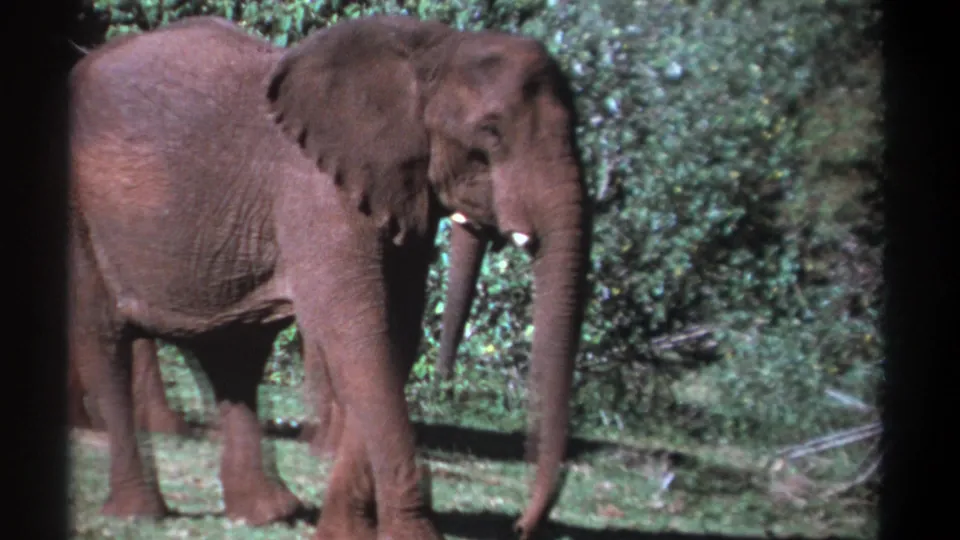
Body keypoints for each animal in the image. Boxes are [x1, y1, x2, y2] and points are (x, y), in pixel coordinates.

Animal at [68, 14, 591, 540]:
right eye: (490, 132)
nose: (521, 526)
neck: (431, 49)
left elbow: (393, 337)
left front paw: (342, 530)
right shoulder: (318, 192)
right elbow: (358, 333)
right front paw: (407, 536)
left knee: (233, 356)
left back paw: (265, 513)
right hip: (81, 217)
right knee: (104, 338)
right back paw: (139, 513)